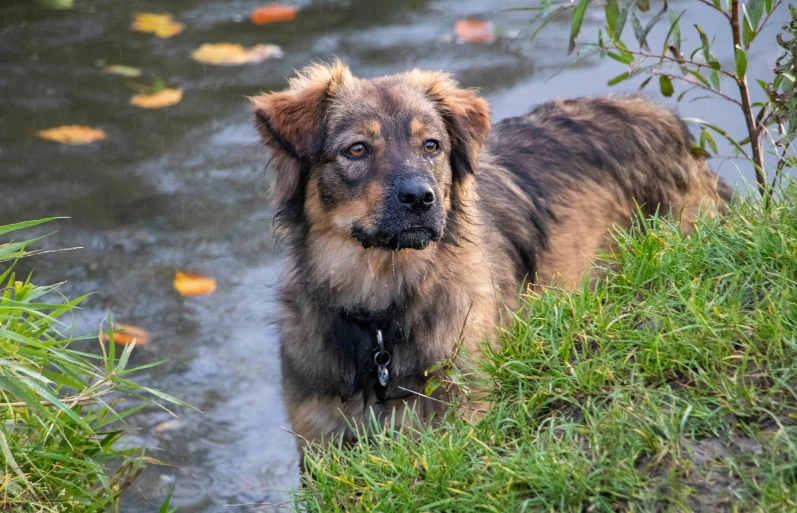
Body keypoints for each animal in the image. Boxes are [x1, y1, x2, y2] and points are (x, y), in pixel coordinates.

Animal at [250, 62, 728, 450]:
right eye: (357, 149)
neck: (381, 308)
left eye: (431, 146)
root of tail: (666, 118)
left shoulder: (466, 409)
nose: (420, 198)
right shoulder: (319, 439)